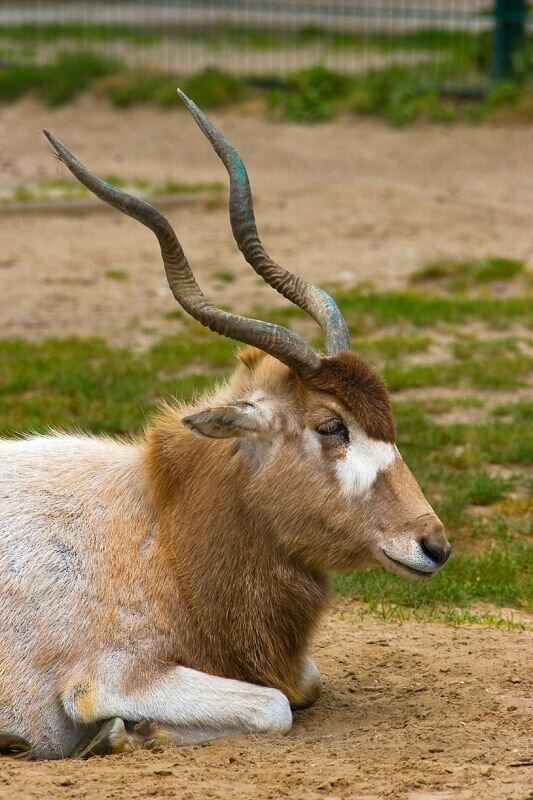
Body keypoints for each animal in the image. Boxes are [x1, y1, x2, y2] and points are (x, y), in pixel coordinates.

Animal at [0, 90, 448, 760]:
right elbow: (274, 705)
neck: (162, 526)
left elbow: (304, 684)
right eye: (331, 426)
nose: (435, 546)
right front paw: (124, 731)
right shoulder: (108, 676)